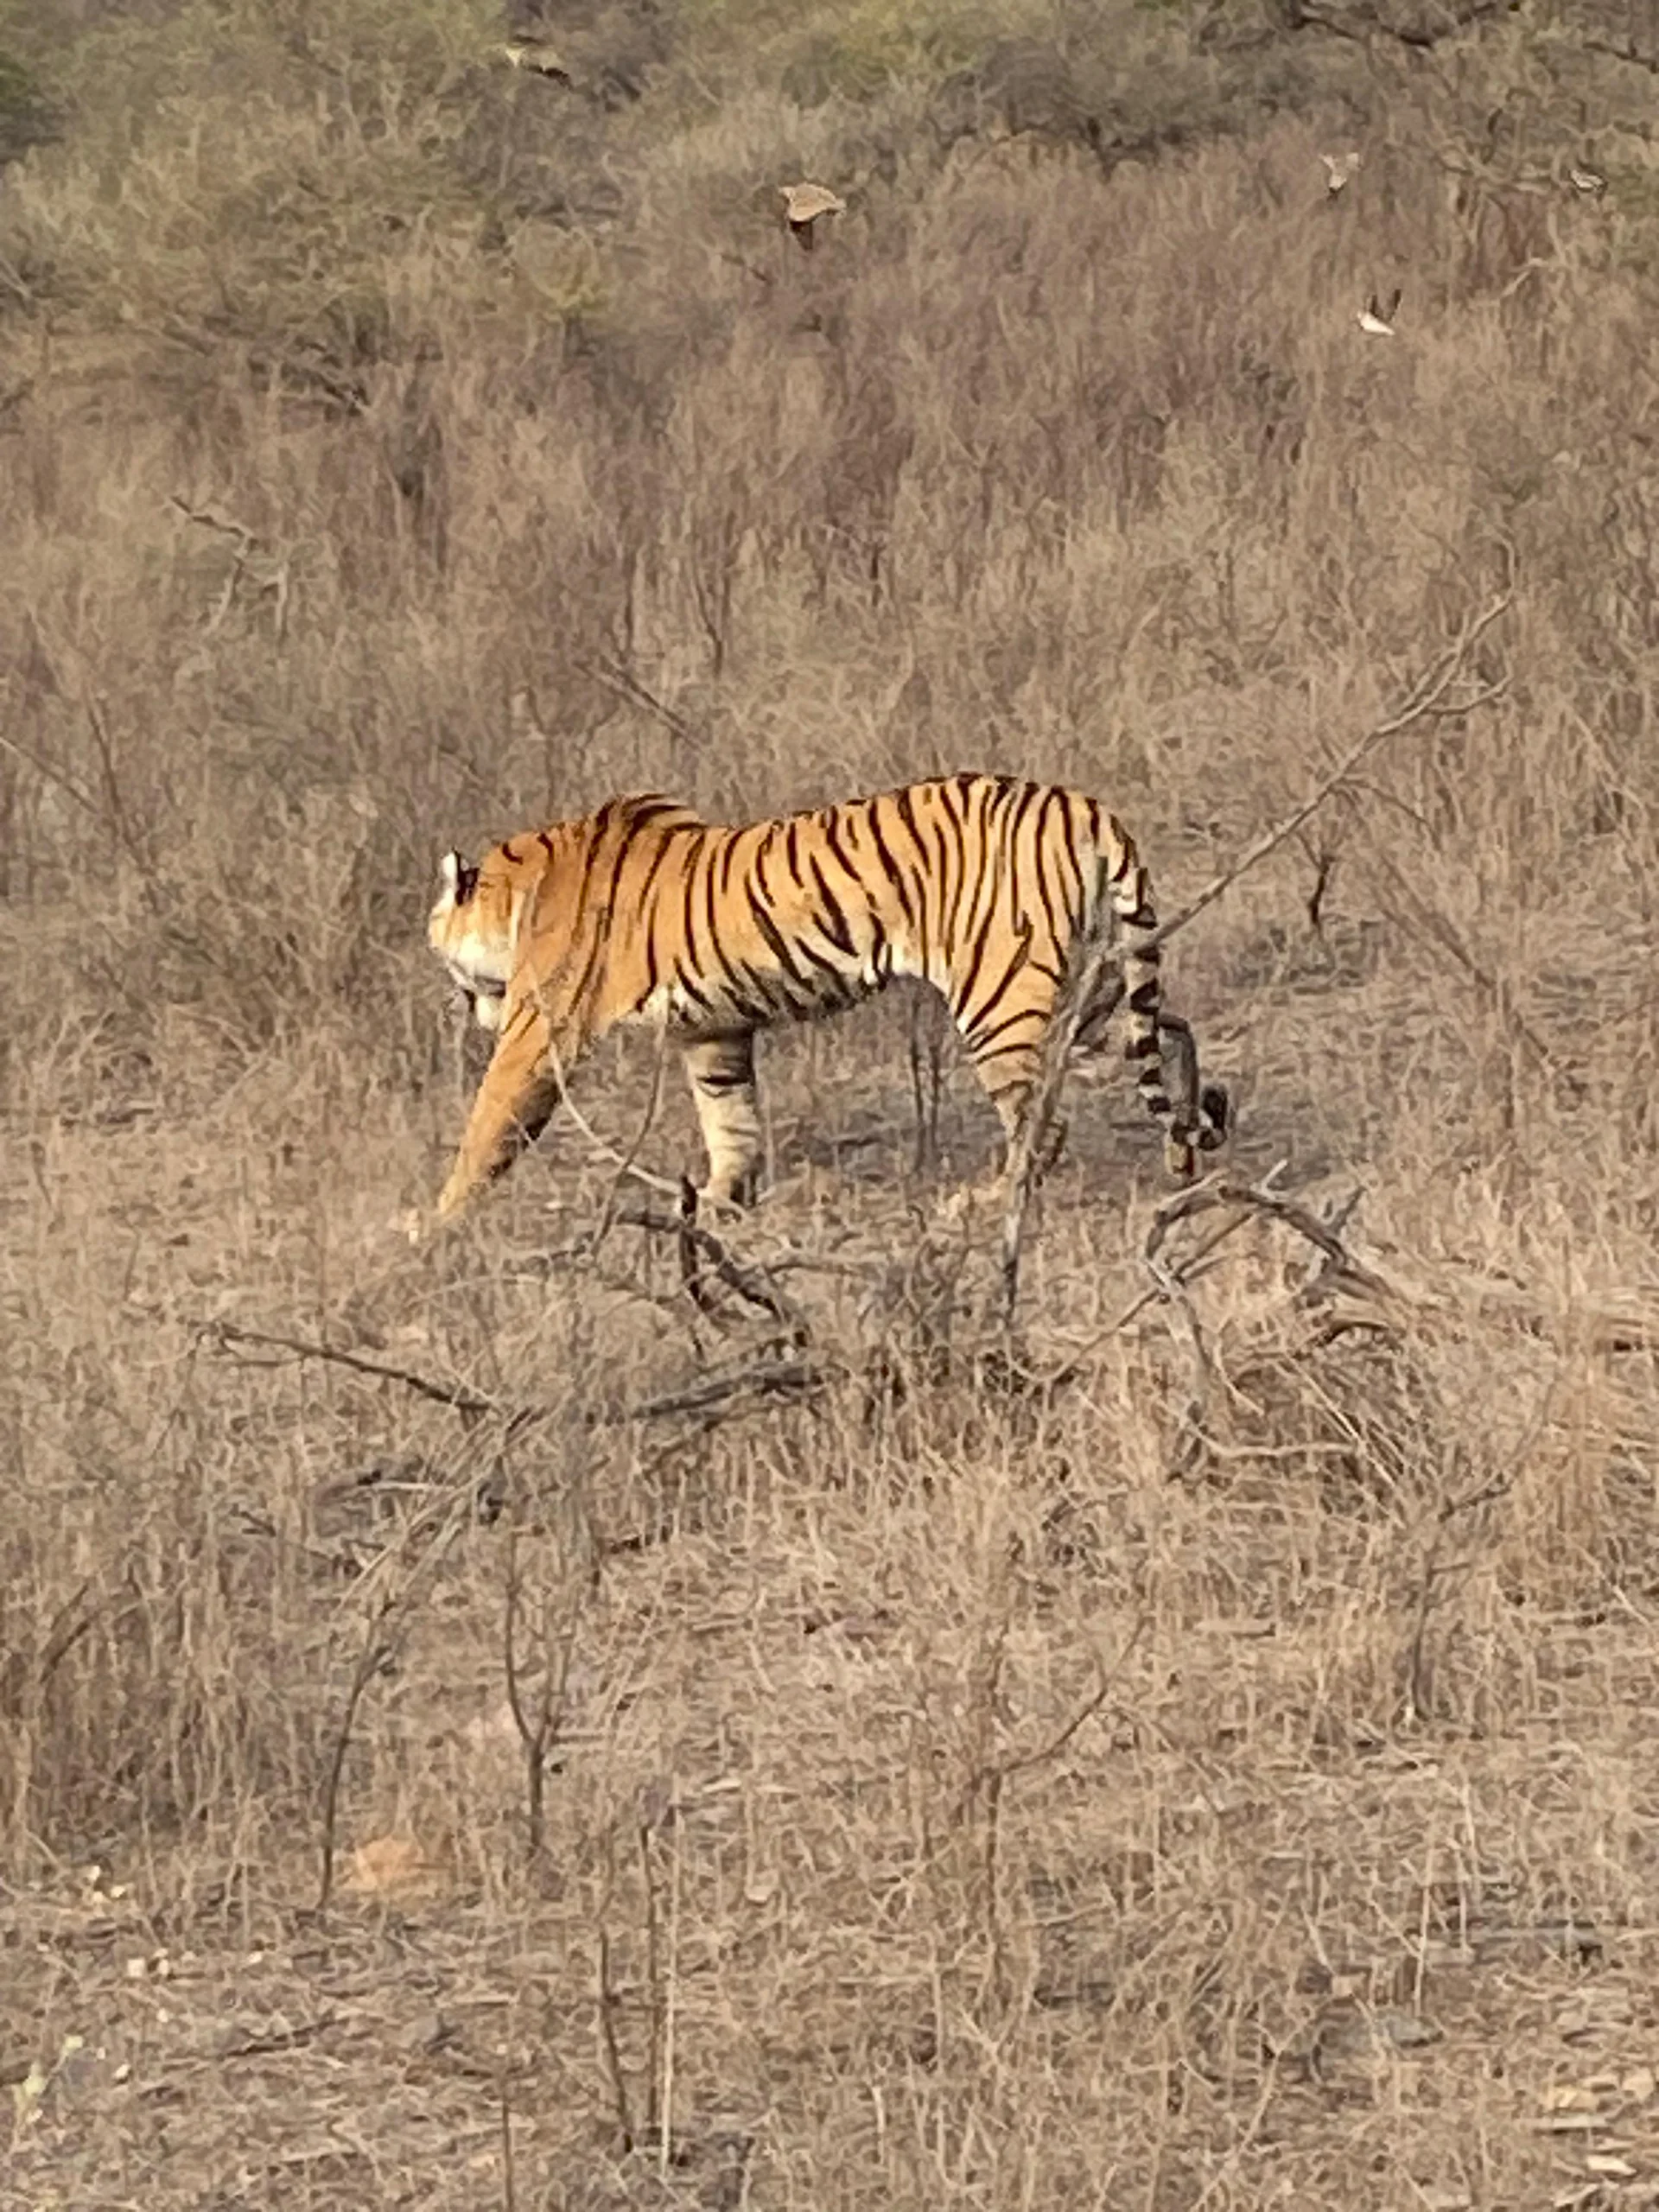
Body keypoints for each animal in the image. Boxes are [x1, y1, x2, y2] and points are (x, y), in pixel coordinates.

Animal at [424, 774, 1229, 1223]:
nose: (462, 1008)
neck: (517, 891)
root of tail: (1084, 807)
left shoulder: (539, 1030)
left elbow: (488, 1123)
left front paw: (433, 1222)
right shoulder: (713, 1030)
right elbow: (730, 1118)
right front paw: (720, 1200)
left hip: (998, 997)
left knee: (1043, 1126)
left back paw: (990, 1202)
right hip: (1093, 987)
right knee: (1167, 1033)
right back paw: (1189, 1142)